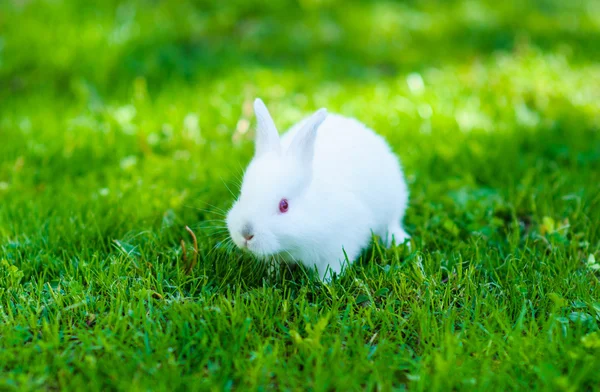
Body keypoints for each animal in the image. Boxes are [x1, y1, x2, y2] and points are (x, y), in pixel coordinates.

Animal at [225, 99, 408, 280]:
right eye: (241, 196)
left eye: (284, 205)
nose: (246, 233)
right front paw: (271, 276)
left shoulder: (339, 245)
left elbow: (331, 268)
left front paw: (325, 282)